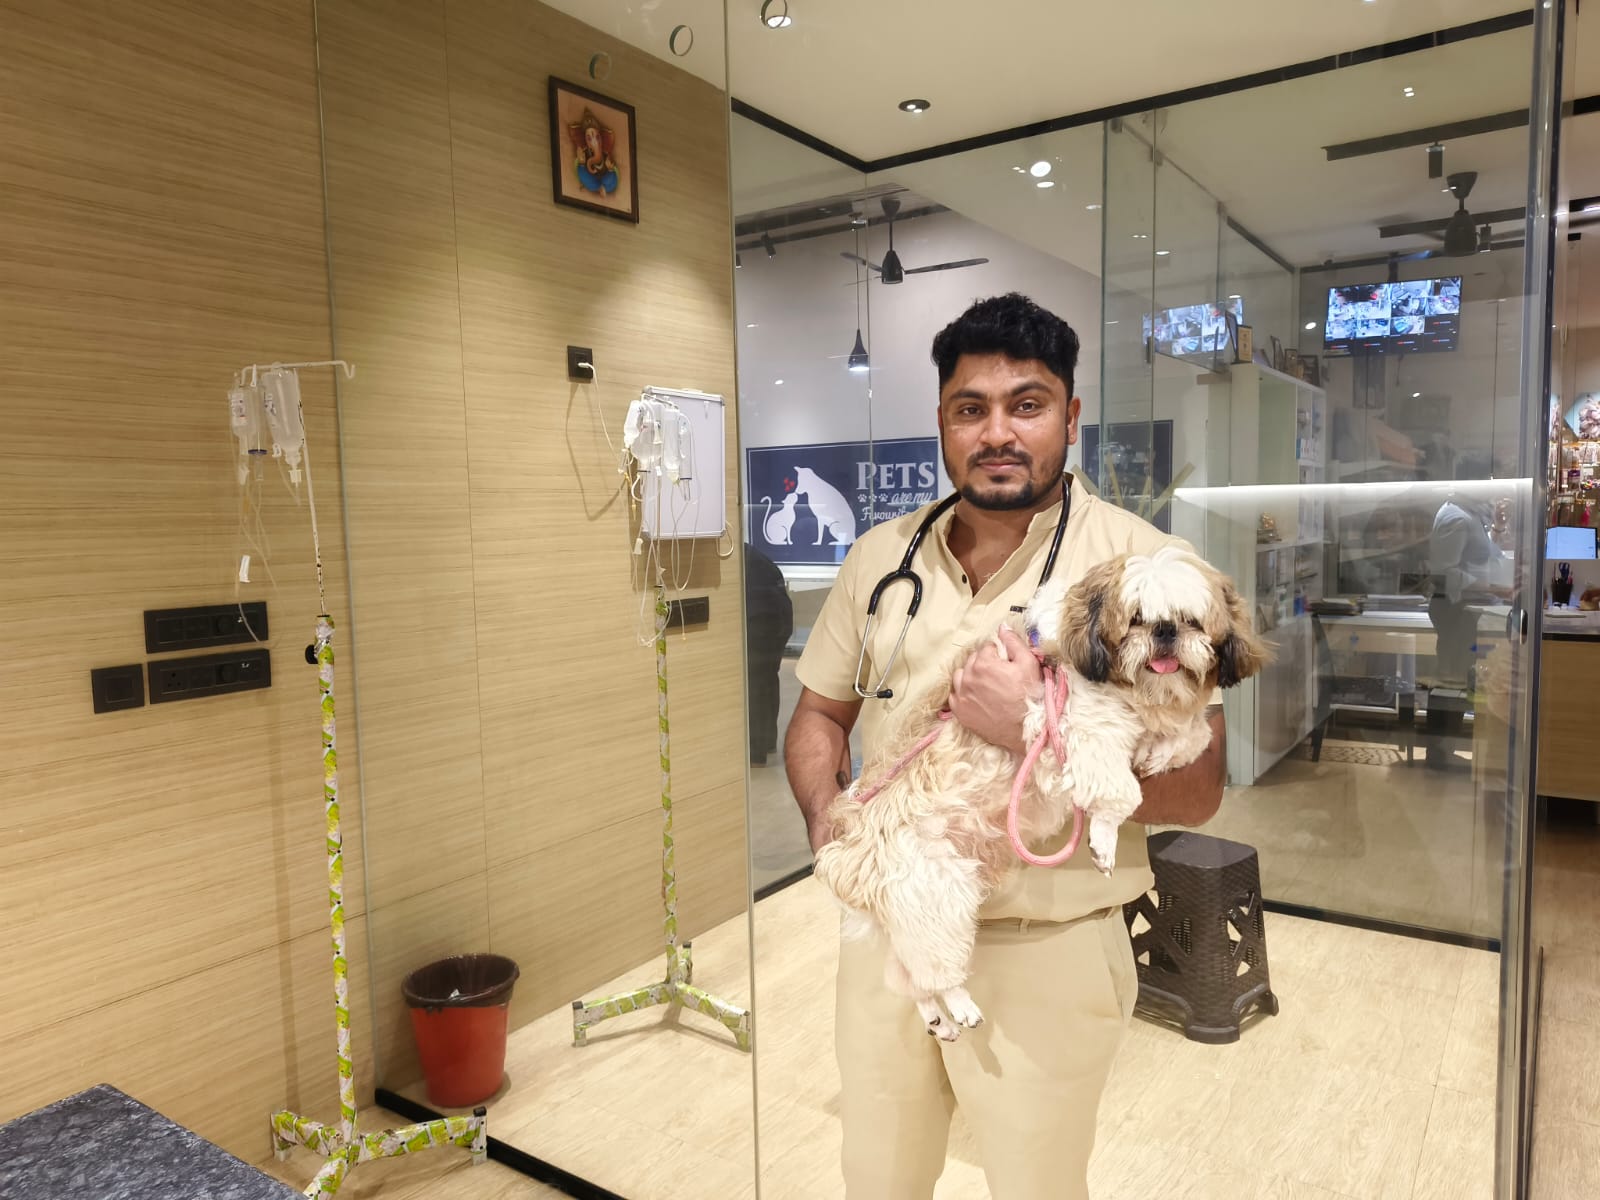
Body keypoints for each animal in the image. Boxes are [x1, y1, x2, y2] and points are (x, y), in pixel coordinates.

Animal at [812, 545, 1266, 1040]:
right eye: (1136, 620)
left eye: (1191, 621)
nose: (1165, 632)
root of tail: (849, 854)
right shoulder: (1079, 726)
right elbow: (1119, 792)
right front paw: (1104, 839)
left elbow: (1194, 736)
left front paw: (1160, 752)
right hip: (937, 897)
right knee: (936, 972)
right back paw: (960, 1006)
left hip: (912, 916)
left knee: (910, 978)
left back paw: (937, 1018)